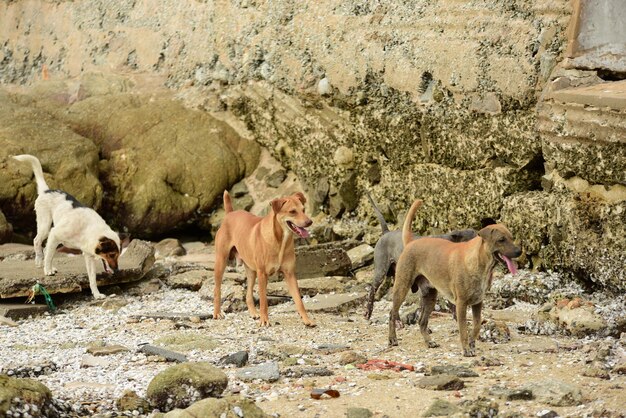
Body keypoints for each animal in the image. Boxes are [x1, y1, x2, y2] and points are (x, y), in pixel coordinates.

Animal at [13, 155, 124, 298]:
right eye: (111, 254)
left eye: (117, 255)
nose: (117, 271)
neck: (88, 229)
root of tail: (46, 190)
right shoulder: (55, 233)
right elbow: (48, 255)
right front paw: (47, 270)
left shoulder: (88, 256)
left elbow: (92, 278)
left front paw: (97, 294)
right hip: (46, 226)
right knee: (37, 241)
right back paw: (40, 262)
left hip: (55, 238)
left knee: (47, 249)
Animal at [212, 190, 314, 326]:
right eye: (292, 211)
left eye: (303, 209)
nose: (309, 222)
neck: (280, 240)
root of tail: (230, 214)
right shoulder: (262, 274)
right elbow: (264, 301)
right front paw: (264, 320)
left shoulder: (290, 274)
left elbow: (298, 300)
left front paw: (307, 320)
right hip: (221, 262)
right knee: (217, 290)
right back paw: (217, 313)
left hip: (251, 271)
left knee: (248, 295)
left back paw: (254, 313)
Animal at [388, 199, 520, 356]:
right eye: (501, 239)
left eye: (512, 238)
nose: (519, 251)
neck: (480, 263)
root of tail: (411, 242)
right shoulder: (461, 304)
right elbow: (463, 329)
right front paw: (466, 349)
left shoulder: (477, 303)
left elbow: (476, 325)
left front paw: (472, 344)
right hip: (401, 288)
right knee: (392, 313)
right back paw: (392, 339)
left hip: (430, 297)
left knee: (422, 321)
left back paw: (429, 342)